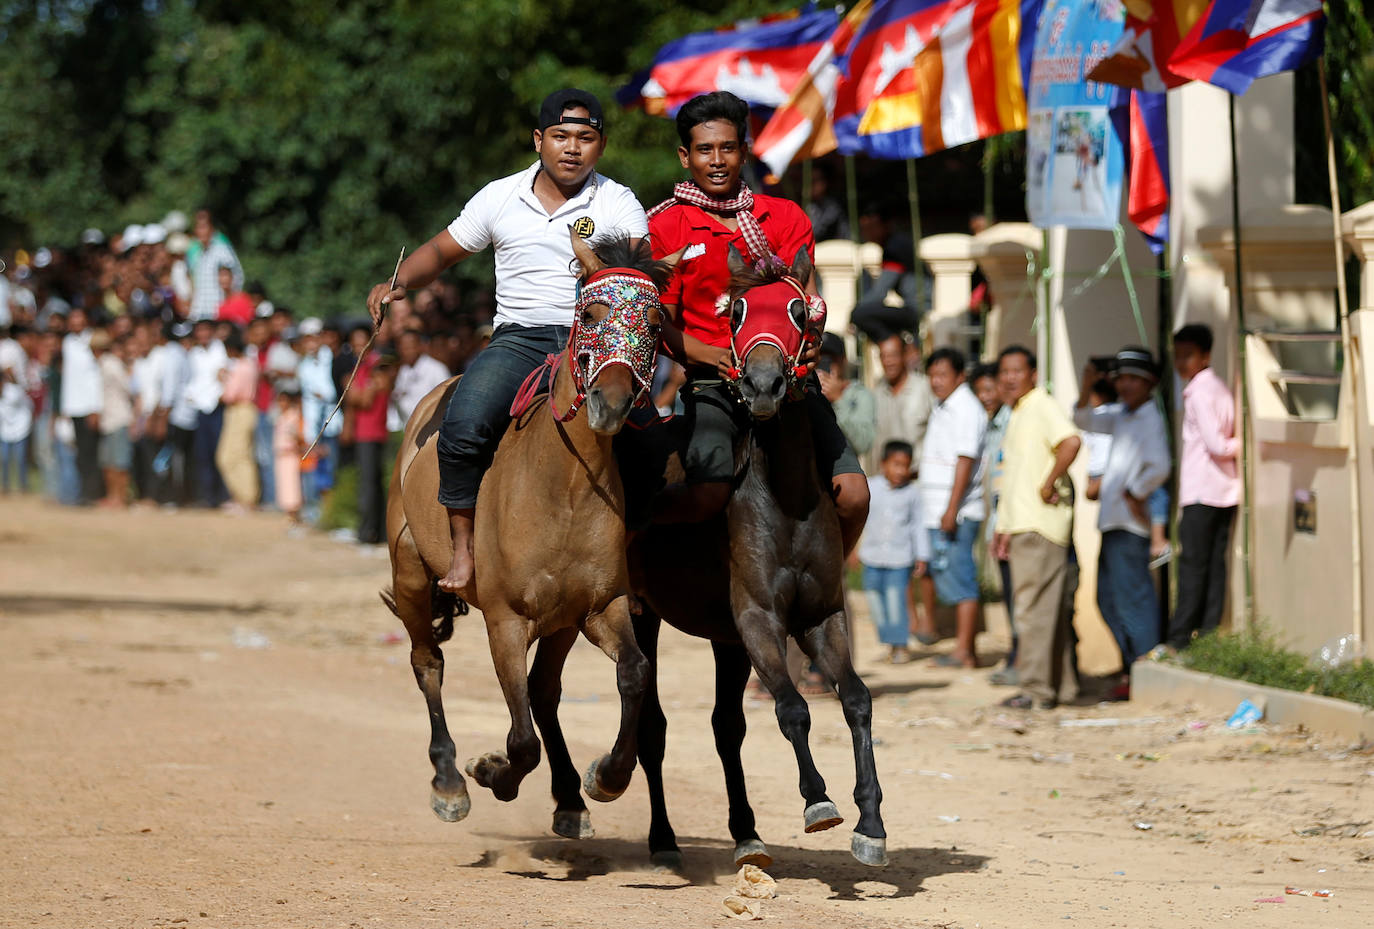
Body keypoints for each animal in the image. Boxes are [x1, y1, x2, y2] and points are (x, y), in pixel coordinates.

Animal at [384, 233, 673, 841]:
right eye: (590, 314)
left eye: (656, 323)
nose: (611, 403)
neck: (563, 486)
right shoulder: (506, 620)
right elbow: (520, 740)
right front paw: (490, 772)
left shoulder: (601, 606)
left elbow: (634, 673)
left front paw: (605, 778)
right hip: (411, 574)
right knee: (428, 663)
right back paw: (450, 782)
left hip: (562, 620)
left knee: (544, 691)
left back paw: (569, 799)